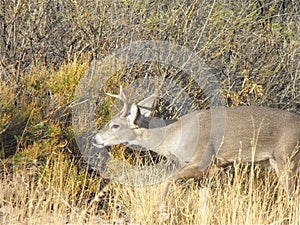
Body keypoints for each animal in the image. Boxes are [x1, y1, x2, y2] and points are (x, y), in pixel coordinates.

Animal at [92, 86, 298, 214]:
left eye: (115, 125)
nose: (95, 138)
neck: (173, 137)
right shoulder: (209, 173)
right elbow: (204, 203)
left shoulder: (205, 161)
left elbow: (168, 179)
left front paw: (162, 210)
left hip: (288, 159)